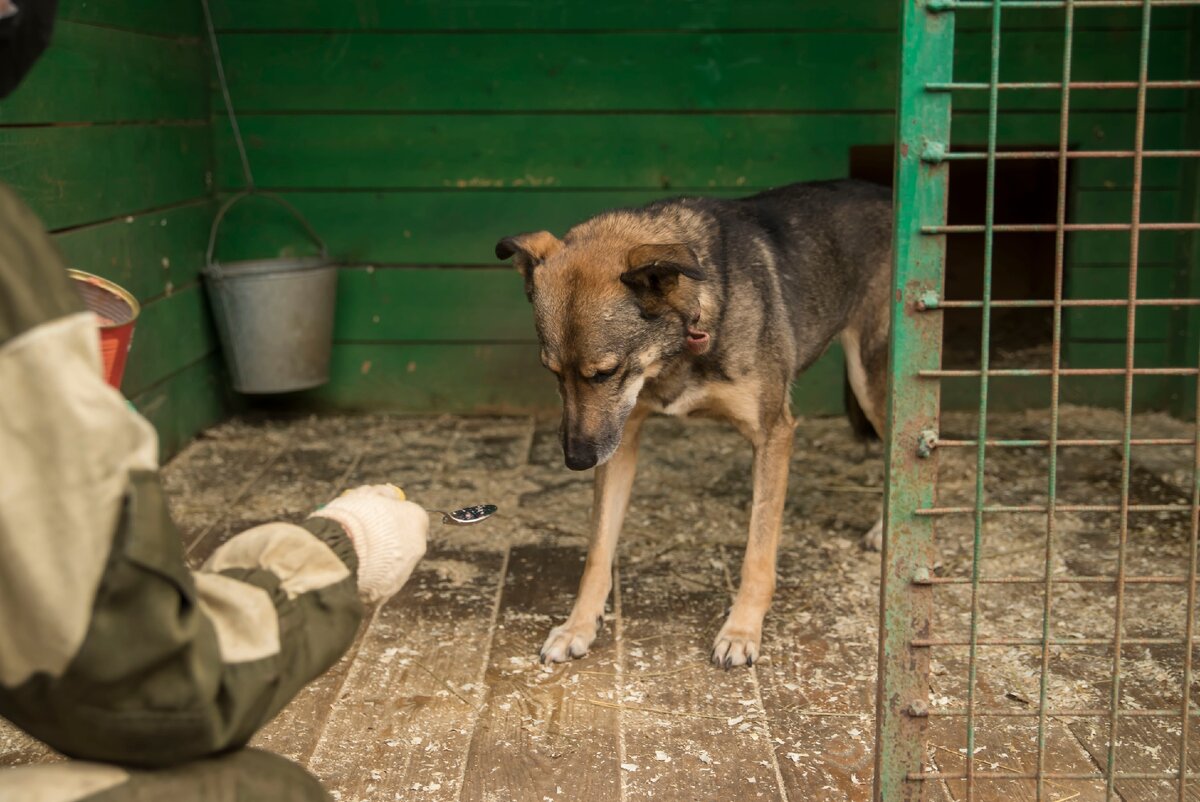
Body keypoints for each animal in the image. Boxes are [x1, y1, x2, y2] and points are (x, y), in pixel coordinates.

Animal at [496, 178, 892, 667]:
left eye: (605, 372)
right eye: (552, 373)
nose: (577, 461)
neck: (686, 335)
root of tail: (885, 191)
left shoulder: (774, 433)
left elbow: (758, 551)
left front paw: (742, 630)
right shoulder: (621, 439)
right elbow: (598, 550)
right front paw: (578, 625)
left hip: (870, 378)